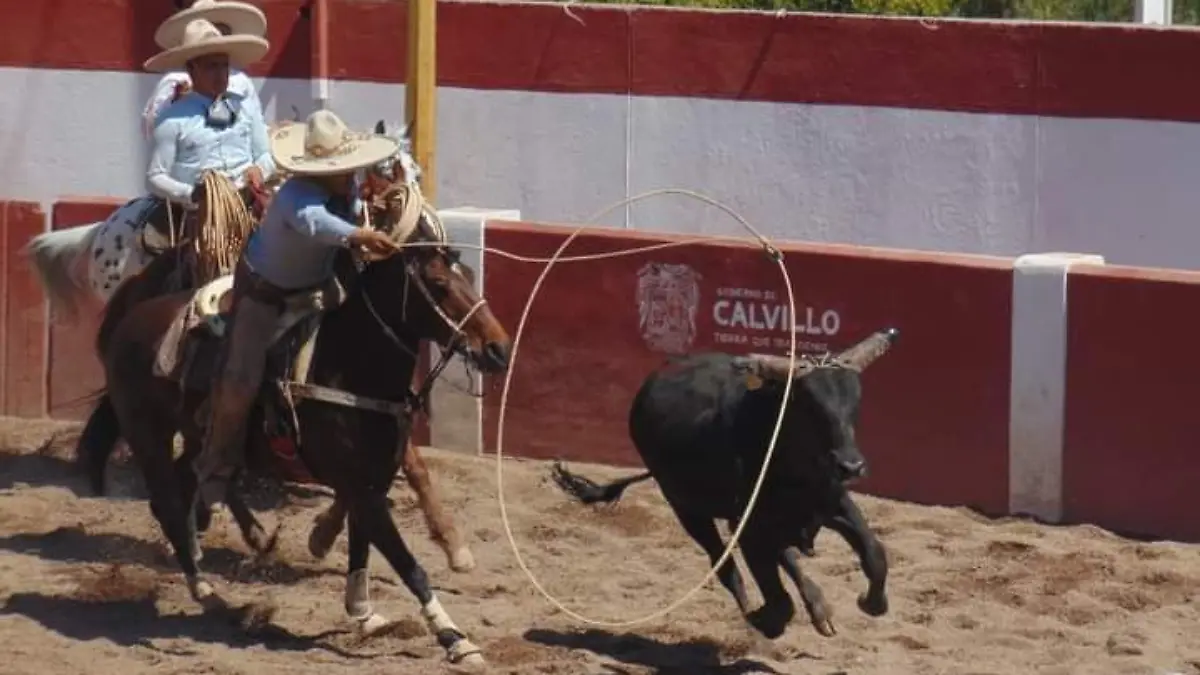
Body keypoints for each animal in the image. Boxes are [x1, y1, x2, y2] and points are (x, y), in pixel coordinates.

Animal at [83, 181, 509, 667]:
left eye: (470, 276)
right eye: (439, 285)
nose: (498, 349)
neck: (347, 367)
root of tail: (129, 319)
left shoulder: (370, 483)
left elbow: (362, 551)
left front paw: (363, 613)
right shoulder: (362, 490)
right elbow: (407, 564)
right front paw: (456, 639)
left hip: (198, 436)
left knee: (191, 480)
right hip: (147, 434)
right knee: (169, 503)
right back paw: (210, 592)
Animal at [551, 327, 897, 640]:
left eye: (855, 403)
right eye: (808, 405)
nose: (851, 466)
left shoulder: (834, 502)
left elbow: (875, 554)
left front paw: (871, 603)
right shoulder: (750, 527)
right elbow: (777, 597)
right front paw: (764, 620)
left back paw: (818, 609)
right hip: (686, 508)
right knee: (726, 565)